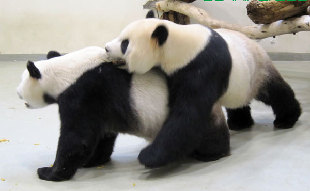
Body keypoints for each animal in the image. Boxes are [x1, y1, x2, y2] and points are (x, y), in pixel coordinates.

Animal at [16, 46, 230, 181]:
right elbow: (101, 134)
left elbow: (77, 138)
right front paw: (93, 161)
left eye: (23, 80)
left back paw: (211, 153)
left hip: (191, 115)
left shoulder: (84, 91)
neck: (67, 71)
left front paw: (48, 172)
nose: (17, 93)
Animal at [105, 14, 302, 167]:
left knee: (275, 92)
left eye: (125, 44)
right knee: (238, 101)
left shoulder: (203, 67)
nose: (106, 47)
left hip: (258, 69)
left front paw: (149, 156)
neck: (179, 45)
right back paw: (240, 122)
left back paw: (287, 119)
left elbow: (189, 112)